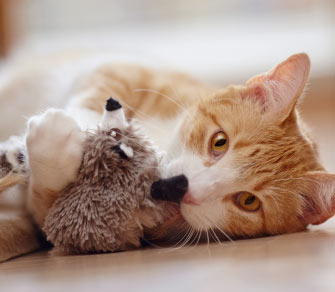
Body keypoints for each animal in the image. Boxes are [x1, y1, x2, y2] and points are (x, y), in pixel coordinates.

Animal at [0, 51, 334, 262]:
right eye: (220, 142)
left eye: (248, 201)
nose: (180, 187)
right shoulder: (130, 70)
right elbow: (100, 87)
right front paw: (93, 130)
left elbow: (48, 204)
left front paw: (53, 142)